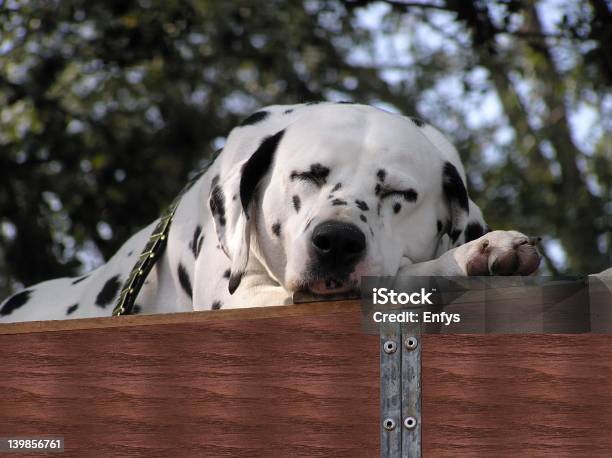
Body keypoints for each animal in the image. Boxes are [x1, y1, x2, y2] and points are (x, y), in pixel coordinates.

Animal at [2, 101, 548, 322]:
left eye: (399, 193)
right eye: (307, 175)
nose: (336, 242)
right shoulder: (242, 299)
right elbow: (407, 275)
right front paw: (474, 255)